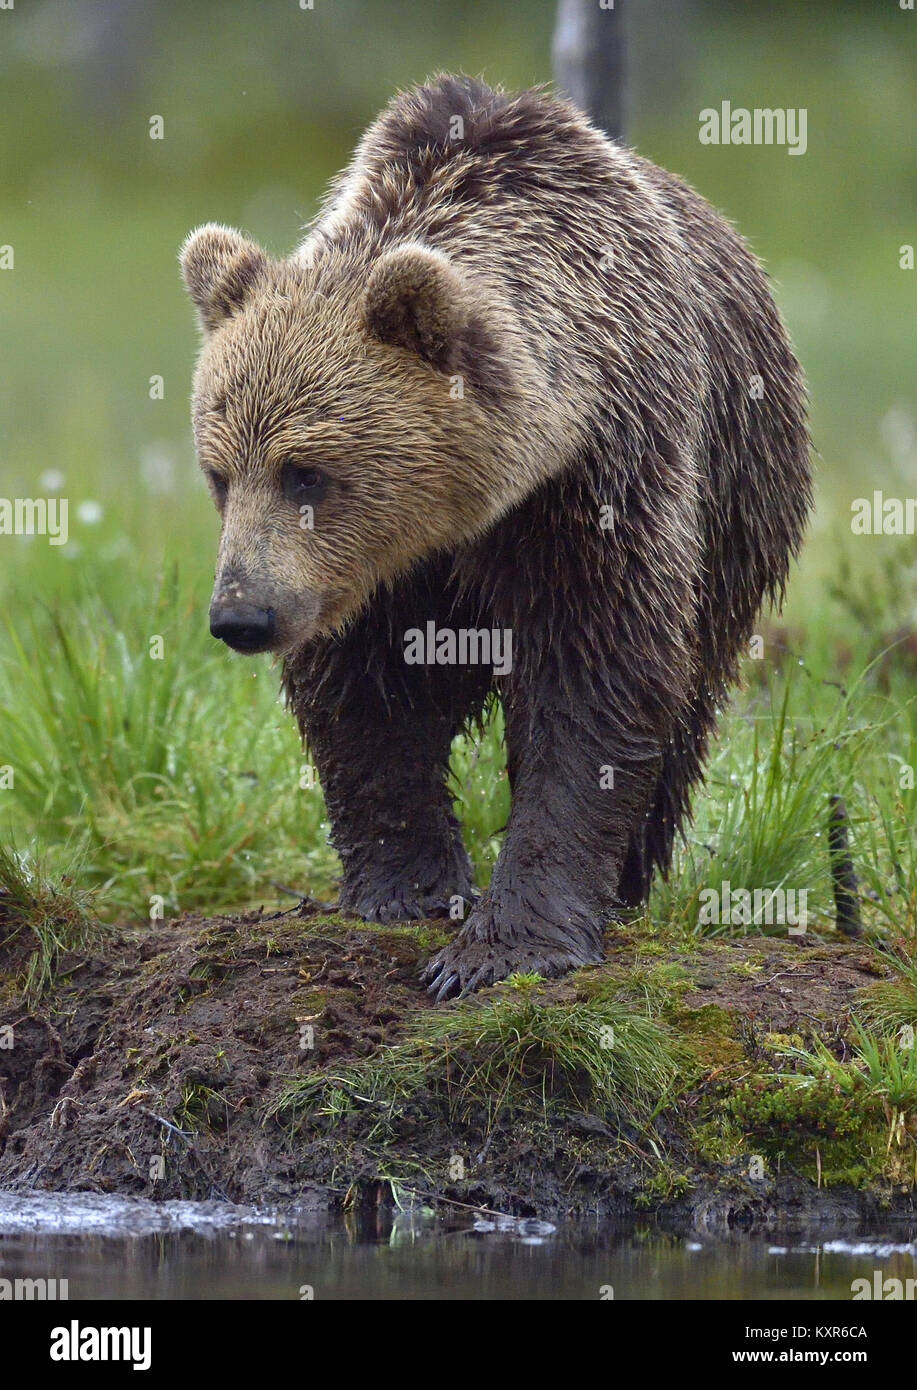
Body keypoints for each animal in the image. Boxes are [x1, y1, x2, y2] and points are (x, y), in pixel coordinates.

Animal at [180, 74, 811, 1000]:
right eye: (221, 473)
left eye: (306, 472)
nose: (241, 616)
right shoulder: (373, 573)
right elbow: (364, 694)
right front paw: (405, 886)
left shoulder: (597, 487)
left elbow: (593, 683)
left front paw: (504, 944)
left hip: (739, 499)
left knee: (689, 696)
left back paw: (628, 880)